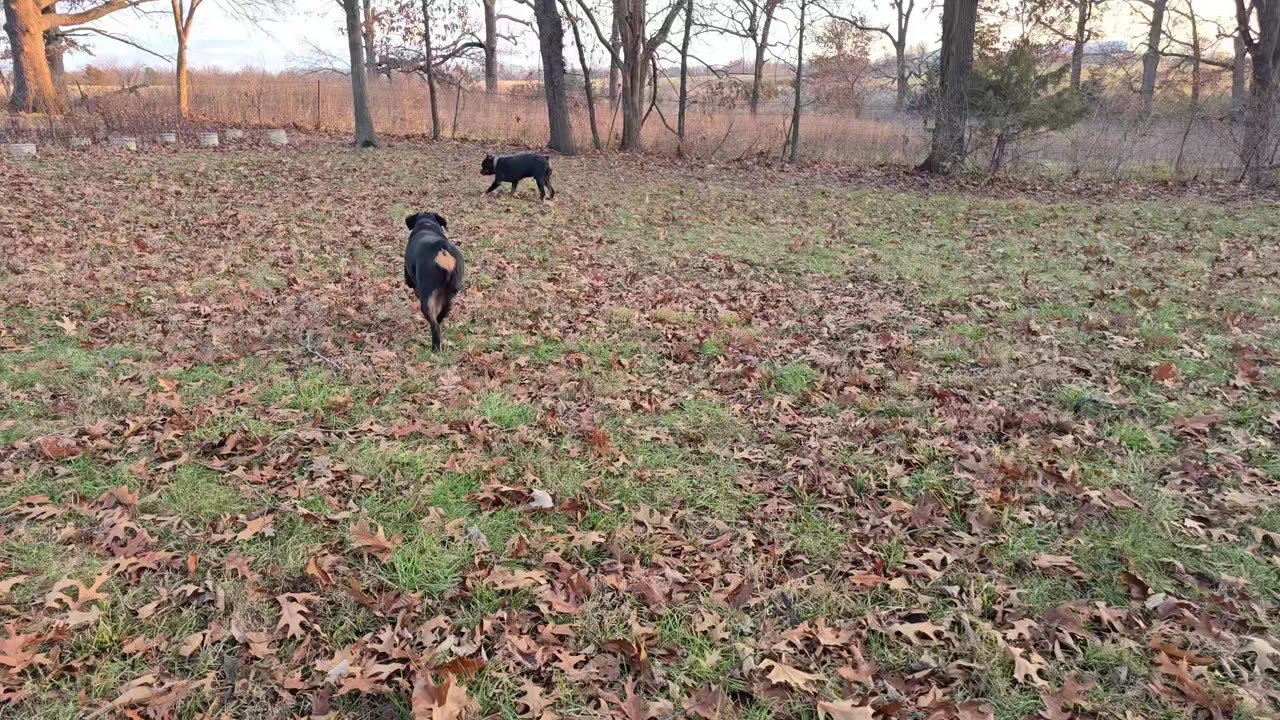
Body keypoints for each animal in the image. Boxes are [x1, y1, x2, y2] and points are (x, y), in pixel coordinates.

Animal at [404, 210, 465, 351]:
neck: (427, 224)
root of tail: (443, 252)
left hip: (427, 298)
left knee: (435, 325)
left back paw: (435, 349)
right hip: (449, 297)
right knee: (440, 318)